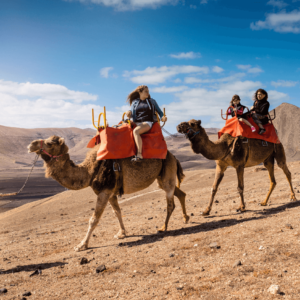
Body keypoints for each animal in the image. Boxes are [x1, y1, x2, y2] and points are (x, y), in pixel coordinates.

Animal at [27, 136, 189, 251]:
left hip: (167, 171)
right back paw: (185, 218)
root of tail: (174, 156)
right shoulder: (111, 193)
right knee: (180, 193)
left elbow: (93, 219)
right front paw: (122, 233)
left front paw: (81, 245)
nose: (31, 145)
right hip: (162, 178)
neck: (90, 171)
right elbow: (117, 212)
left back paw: (163, 227)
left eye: (49, 143)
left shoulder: (104, 191)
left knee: (170, 202)